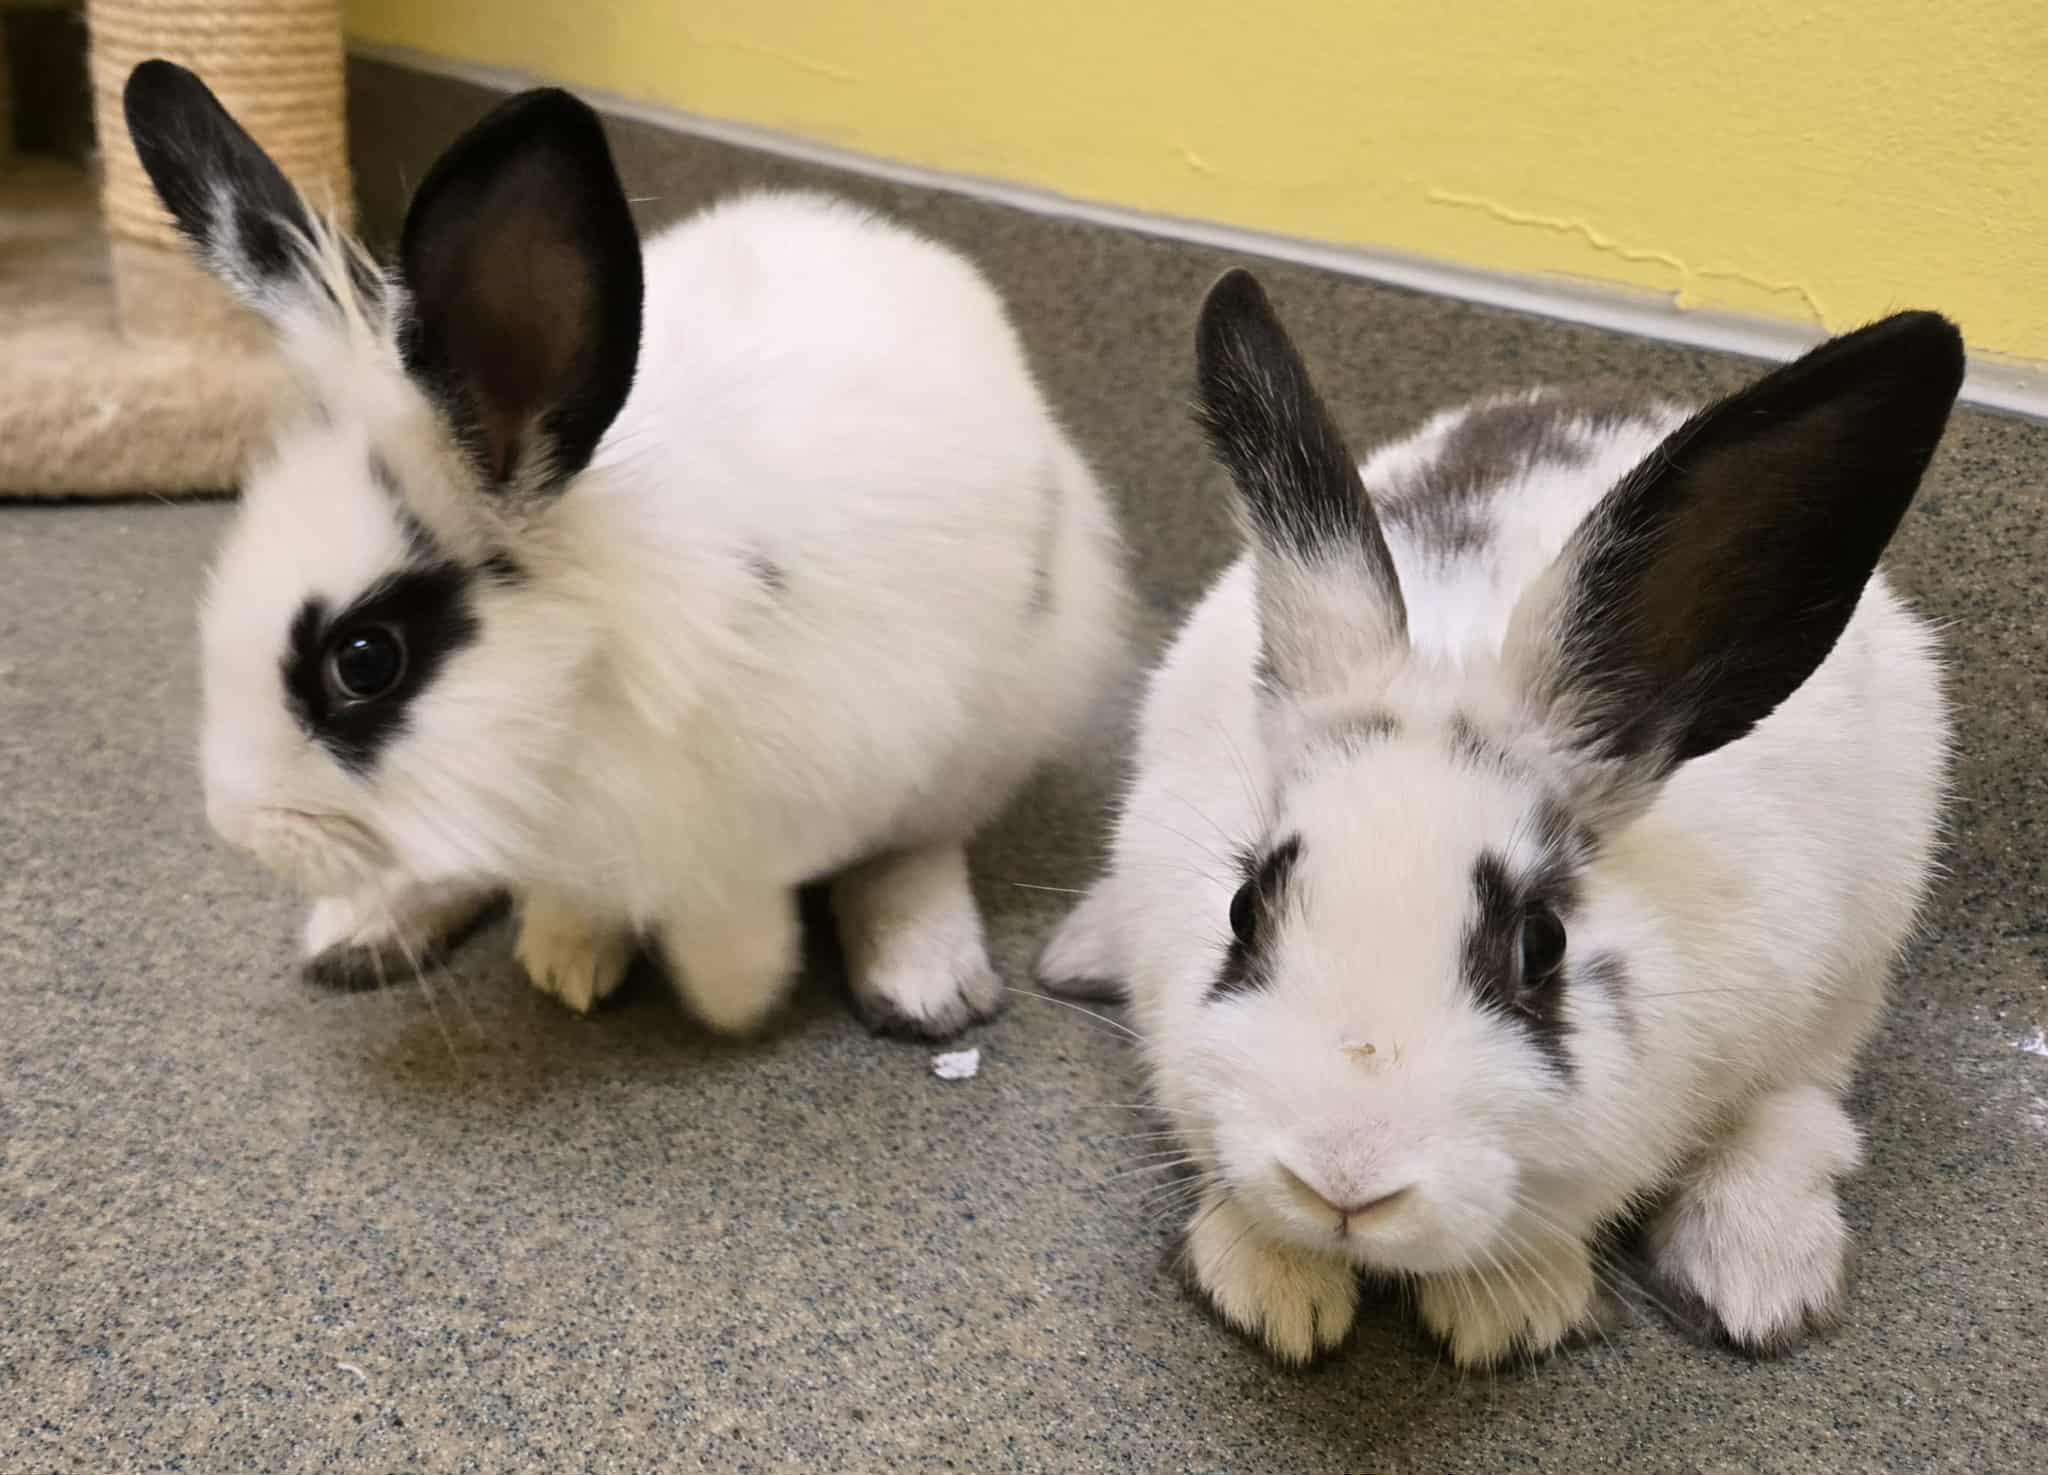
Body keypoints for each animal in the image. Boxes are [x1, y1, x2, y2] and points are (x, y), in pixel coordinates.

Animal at [123, 61, 1131, 1039]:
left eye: (365, 661)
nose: (237, 825)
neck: (577, 700)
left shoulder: (763, 822)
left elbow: (730, 921)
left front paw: (730, 999)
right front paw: (566, 957)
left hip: (989, 726)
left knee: (917, 847)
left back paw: (925, 982)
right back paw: (362, 929)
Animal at [1040, 267, 1962, 1367]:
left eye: (1541, 945)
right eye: (1241, 911)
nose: (1343, 1181)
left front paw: (1512, 1312)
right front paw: (1270, 1283)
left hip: (1861, 943)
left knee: (1805, 1101)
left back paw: (1756, 1274)